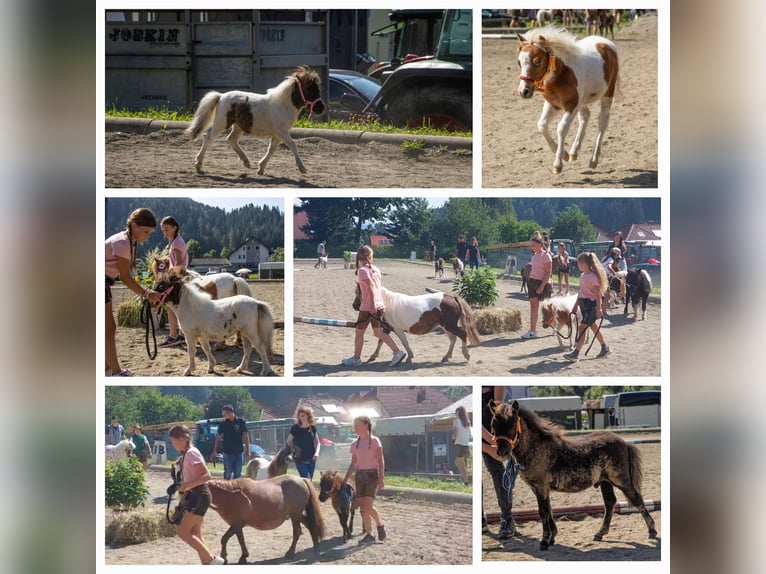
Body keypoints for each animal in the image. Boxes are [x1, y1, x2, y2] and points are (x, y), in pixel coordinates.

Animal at [184, 66, 326, 177]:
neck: (283, 105)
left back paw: (246, 162)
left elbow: (272, 149)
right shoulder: (282, 132)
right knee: (208, 138)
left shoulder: (277, 134)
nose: (322, 109)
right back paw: (198, 165)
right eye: (310, 89)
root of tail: (221, 96)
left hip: (238, 126)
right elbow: (293, 145)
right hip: (221, 123)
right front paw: (302, 168)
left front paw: (260, 169)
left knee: (231, 139)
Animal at [352, 284, 480, 364]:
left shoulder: (397, 329)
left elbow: (404, 342)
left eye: (360, 292)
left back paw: (466, 355)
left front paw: (409, 357)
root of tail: (452, 297)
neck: (388, 303)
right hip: (446, 327)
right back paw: (446, 357)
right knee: (453, 339)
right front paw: (373, 356)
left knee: (462, 334)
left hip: (450, 326)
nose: (355, 306)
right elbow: (381, 341)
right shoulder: (388, 328)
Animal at [492, 402, 660, 552]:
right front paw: (552, 538)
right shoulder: (537, 488)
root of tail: (625, 443)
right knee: (610, 503)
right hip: (605, 481)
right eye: (493, 425)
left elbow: (543, 511)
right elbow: (549, 509)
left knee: (637, 499)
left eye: (512, 424)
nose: (501, 452)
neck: (537, 448)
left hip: (621, 480)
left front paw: (544, 541)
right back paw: (600, 533)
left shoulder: (540, 486)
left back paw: (652, 531)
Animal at [520, 25, 620, 173]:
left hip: (607, 94)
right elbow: (542, 125)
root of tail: (606, 42)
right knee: (585, 116)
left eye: (538, 62)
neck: (563, 73)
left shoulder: (572, 105)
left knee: (602, 121)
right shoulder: (552, 104)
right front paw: (565, 155)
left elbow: (561, 128)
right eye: (519, 62)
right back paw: (574, 152)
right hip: (582, 100)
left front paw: (558, 163)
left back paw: (593, 160)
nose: (524, 91)